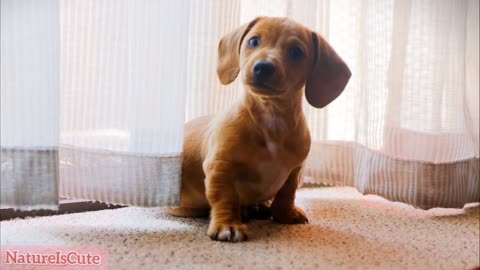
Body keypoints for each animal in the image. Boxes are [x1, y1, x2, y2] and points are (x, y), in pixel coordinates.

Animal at [167, 17, 350, 243]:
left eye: (296, 51)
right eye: (253, 41)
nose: (263, 67)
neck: (272, 118)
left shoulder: (295, 170)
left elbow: (287, 194)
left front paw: (284, 214)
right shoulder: (221, 166)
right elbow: (225, 197)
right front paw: (227, 225)